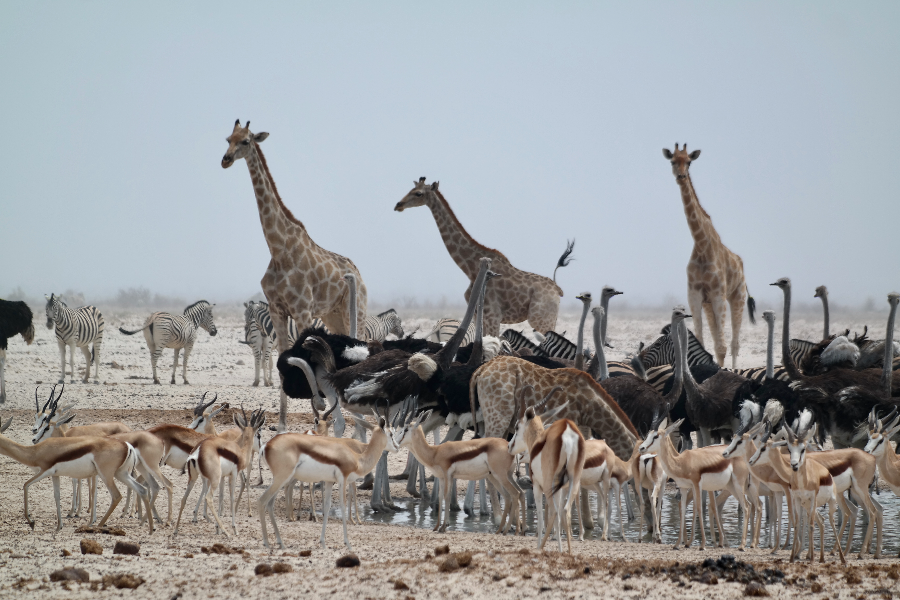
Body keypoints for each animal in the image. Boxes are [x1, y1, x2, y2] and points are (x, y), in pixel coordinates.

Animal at [221, 120, 366, 432]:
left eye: (246, 141)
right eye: (228, 139)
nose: (225, 160)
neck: (278, 248)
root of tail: (359, 273)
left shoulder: (301, 310)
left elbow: (305, 358)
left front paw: (319, 409)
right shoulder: (278, 310)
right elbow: (282, 362)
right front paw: (282, 423)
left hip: (355, 308)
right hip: (332, 315)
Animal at [396, 177, 568, 338]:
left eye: (418, 193)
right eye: (411, 189)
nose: (398, 205)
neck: (469, 269)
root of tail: (558, 291)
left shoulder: (493, 316)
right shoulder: (478, 315)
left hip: (541, 319)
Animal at [660, 146, 752, 370]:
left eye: (689, 162)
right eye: (673, 161)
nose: (681, 176)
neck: (702, 246)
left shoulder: (719, 295)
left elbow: (721, 346)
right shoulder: (694, 295)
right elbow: (702, 341)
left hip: (737, 297)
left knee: (734, 343)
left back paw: (733, 368)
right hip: (709, 304)